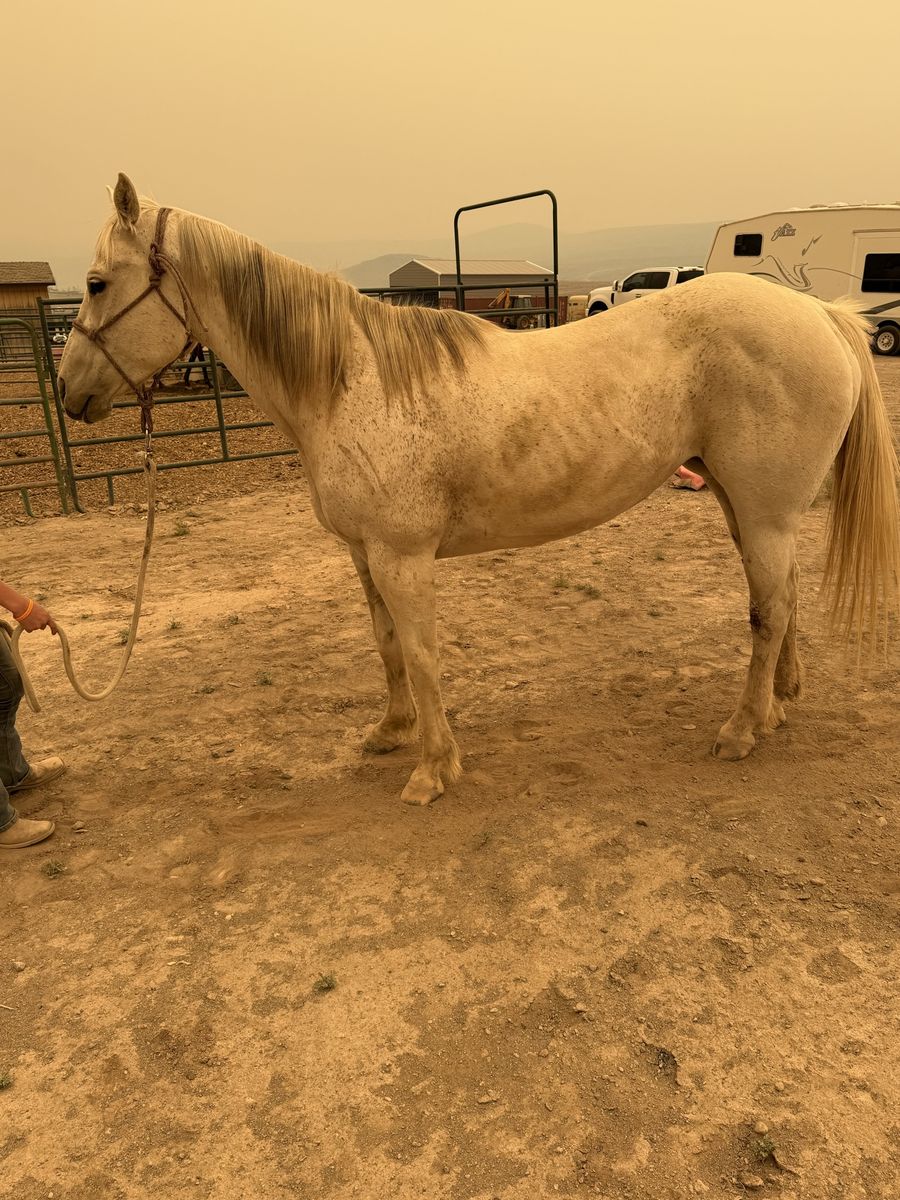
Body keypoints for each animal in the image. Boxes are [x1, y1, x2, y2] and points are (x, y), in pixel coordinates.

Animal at [58, 174, 900, 806]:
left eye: (98, 283)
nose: (69, 394)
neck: (350, 381)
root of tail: (819, 312)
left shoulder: (402, 558)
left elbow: (424, 652)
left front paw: (433, 769)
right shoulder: (366, 556)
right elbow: (387, 647)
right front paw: (391, 733)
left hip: (762, 512)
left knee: (768, 613)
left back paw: (742, 729)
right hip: (749, 508)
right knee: (782, 599)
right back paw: (783, 699)